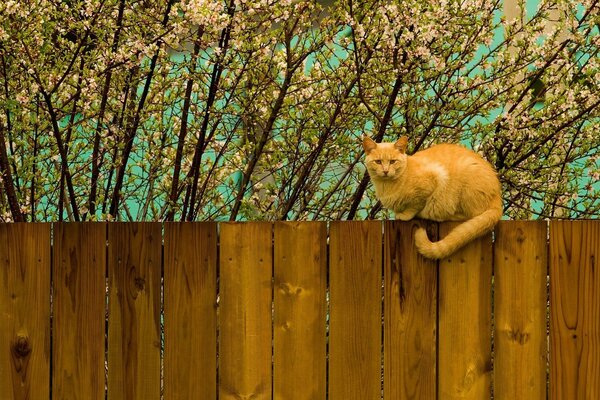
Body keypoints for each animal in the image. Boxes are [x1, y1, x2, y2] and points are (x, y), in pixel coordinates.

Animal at [364, 134, 504, 260]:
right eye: (378, 162)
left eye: (393, 161)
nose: (386, 171)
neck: (386, 187)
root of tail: (498, 196)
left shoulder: (434, 179)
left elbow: (415, 205)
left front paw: (405, 215)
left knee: (470, 215)